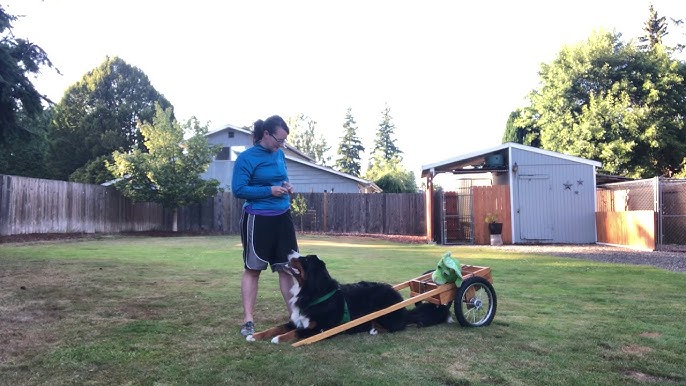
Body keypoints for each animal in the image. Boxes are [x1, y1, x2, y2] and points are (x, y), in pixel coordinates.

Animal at [247, 250, 452, 344]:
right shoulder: (297, 320)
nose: (290, 251)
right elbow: (276, 328)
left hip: (384, 313)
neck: (312, 292)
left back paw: (374, 329)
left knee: (396, 327)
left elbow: (295, 332)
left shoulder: (320, 328)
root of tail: (401, 305)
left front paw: (278, 339)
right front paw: (254, 335)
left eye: (304, 260)